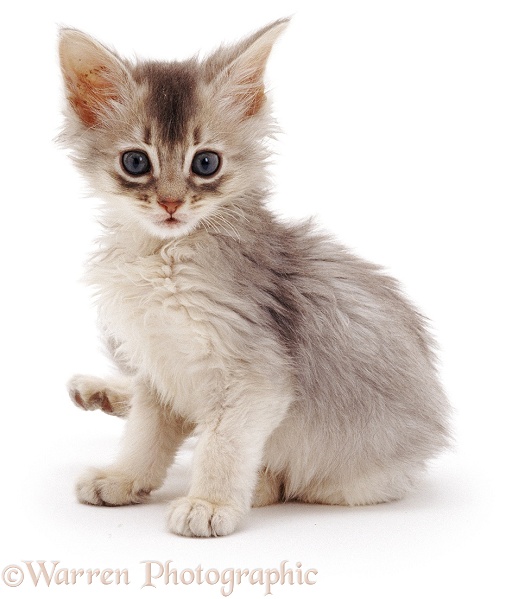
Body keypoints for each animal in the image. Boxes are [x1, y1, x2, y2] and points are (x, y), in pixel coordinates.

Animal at [60, 21, 450, 540]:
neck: (163, 258)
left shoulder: (254, 377)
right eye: (136, 163)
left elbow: (222, 445)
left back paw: (257, 484)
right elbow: (145, 434)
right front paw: (125, 477)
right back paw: (101, 391)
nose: (170, 204)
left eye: (206, 163)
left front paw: (209, 502)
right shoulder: (159, 366)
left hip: (351, 481)